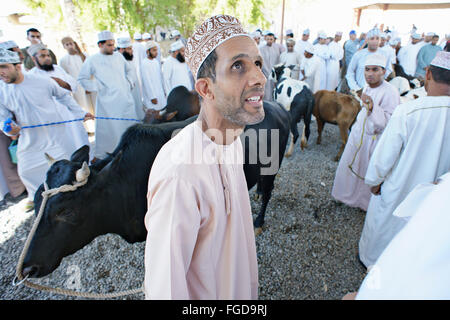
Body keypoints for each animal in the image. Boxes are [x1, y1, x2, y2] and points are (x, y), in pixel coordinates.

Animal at [23, 102, 288, 278]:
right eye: (35, 203)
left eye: (66, 212)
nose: (28, 267)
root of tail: (276, 107)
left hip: (272, 168)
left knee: (269, 191)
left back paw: (259, 221)